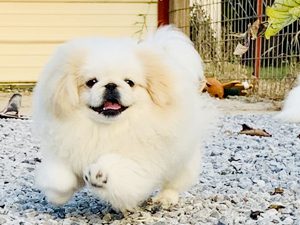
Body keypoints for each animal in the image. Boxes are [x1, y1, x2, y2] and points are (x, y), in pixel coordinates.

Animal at [33, 25, 218, 211]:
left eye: (129, 82)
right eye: (91, 82)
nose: (111, 85)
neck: (106, 128)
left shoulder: (139, 164)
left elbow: (118, 167)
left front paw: (99, 174)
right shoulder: (64, 150)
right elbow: (60, 179)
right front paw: (58, 196)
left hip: (180, 159)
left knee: (173, 183)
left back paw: (165, 199)